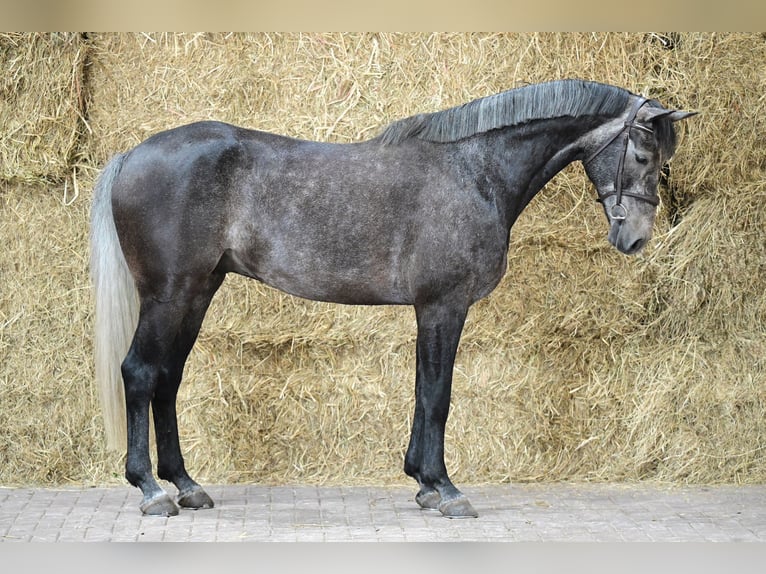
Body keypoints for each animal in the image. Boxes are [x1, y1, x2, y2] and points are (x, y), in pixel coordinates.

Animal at [90, 79, 695, 518]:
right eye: (644, 156)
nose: (634, 238)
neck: (474, 170)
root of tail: (132, 154)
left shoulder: (431, 311)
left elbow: (423, 392)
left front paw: (423, 483)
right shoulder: (444, 306)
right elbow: (438, 396)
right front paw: (446, 490)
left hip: (197, 292)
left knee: (168, 379)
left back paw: (186, 485)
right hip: (169, 295)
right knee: (140, 373)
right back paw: (151, 491)